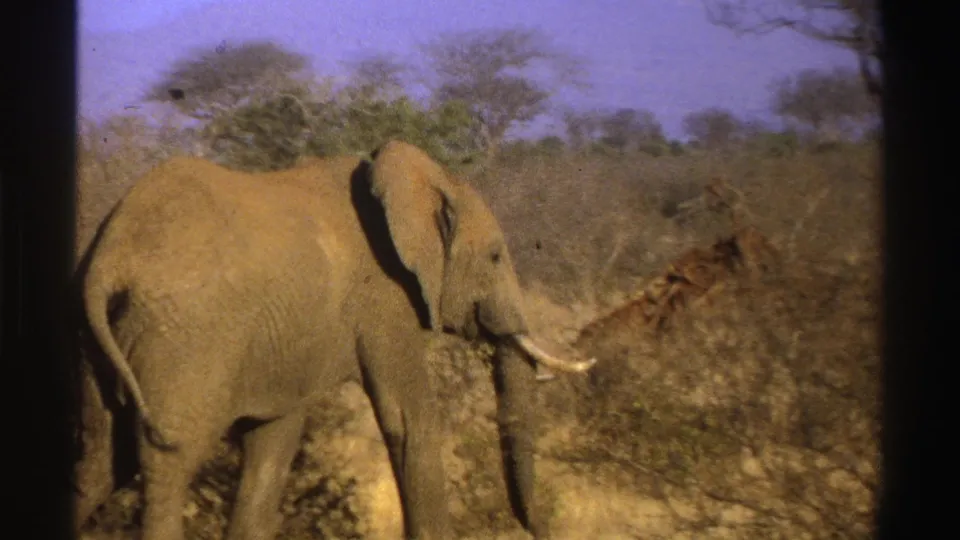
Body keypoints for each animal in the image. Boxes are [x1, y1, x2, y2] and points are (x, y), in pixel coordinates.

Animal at [73, 139, 597, 540]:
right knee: (167, 460)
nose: (539, 527)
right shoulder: (386, 295)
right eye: (494, 257)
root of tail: (109, 259)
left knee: (100, 460)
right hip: (186, 337)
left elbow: (274, 436)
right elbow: (409, 421)